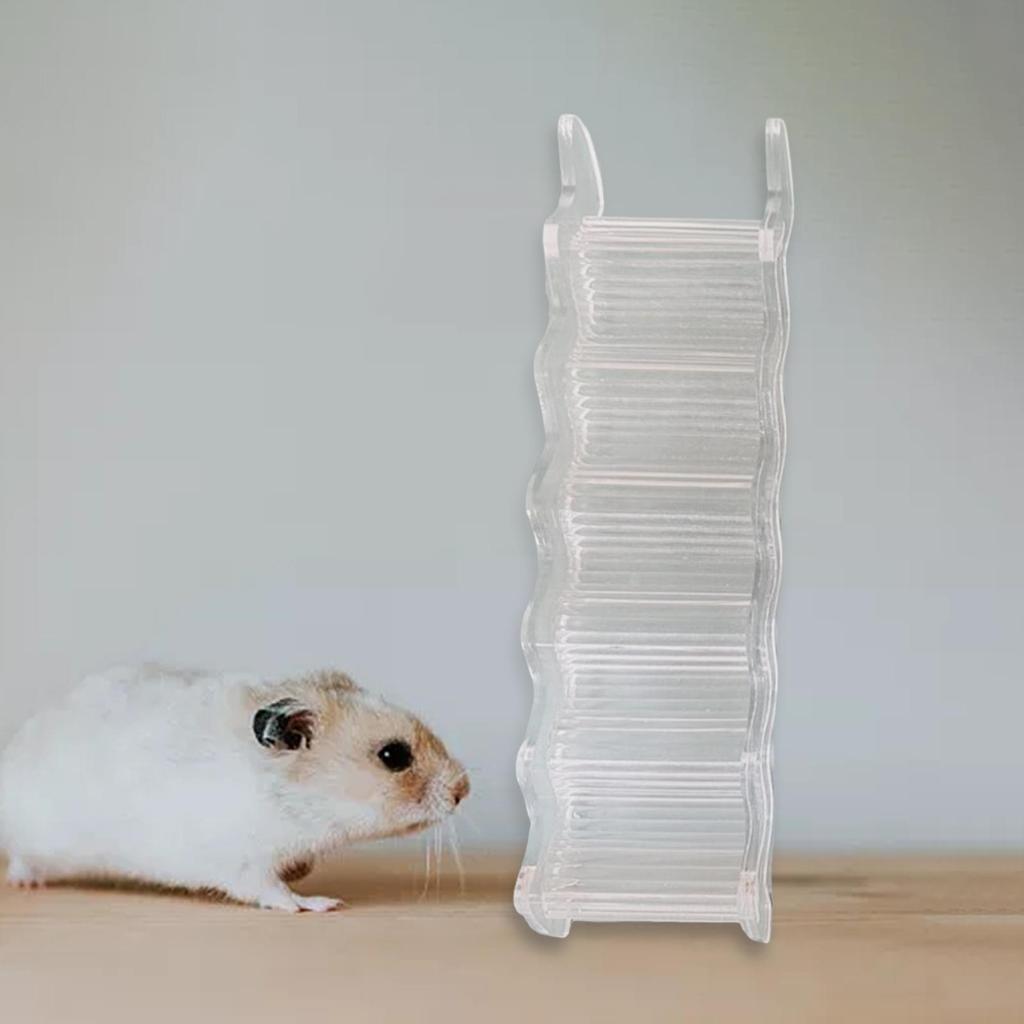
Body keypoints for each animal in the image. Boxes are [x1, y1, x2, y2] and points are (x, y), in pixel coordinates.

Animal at [0, 665, 469, 912]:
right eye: (393, 756)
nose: (463, 788)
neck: (295, 801)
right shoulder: (245, 862)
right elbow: (274, 892)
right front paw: (322, 903)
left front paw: (304, 873)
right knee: (23, 858)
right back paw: (26, 884)